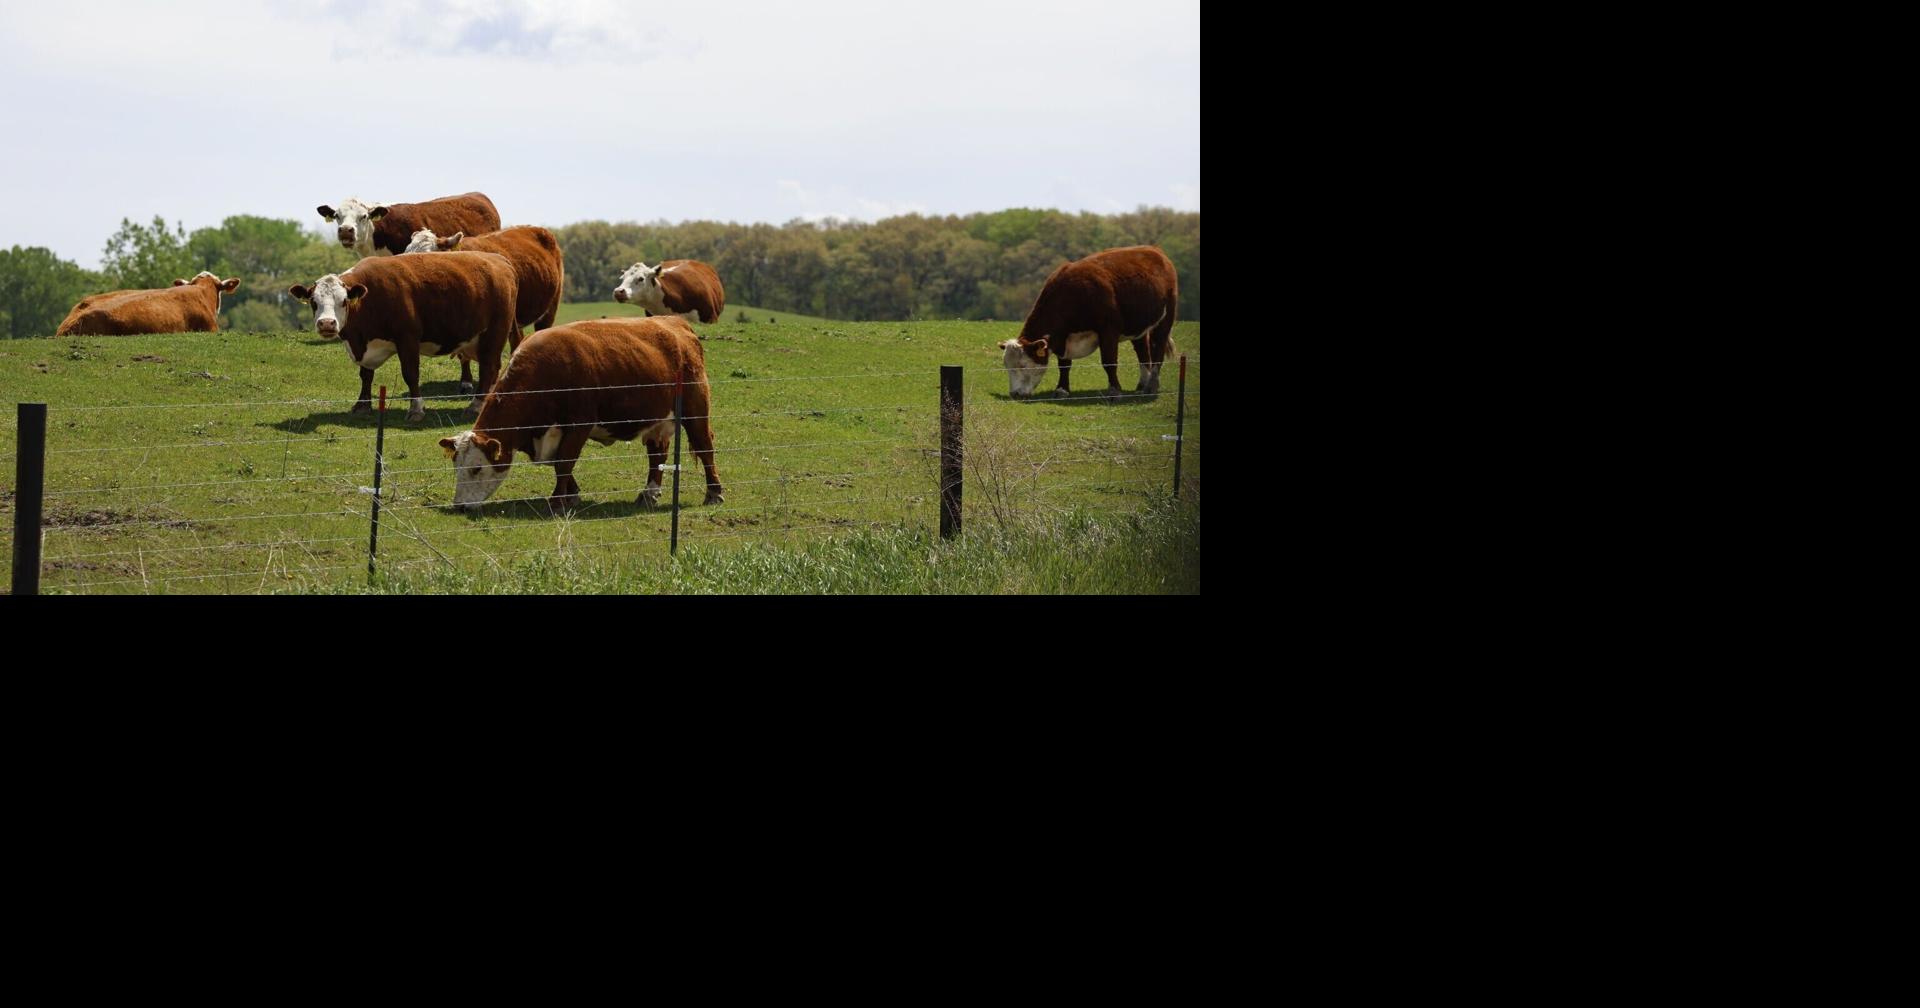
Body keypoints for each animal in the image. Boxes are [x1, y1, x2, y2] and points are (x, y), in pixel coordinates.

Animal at [289, 252, 518, 422]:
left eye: (343, 301)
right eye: (313, 301)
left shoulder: (407, 338)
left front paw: (416, 410)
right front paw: (362, 405)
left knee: (489, 368)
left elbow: (410, 374)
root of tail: (500, 260)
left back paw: (476, 406)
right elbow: (366, 375)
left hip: (494, 333)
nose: (327, 323)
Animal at [438, 316, 725, 515]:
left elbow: (564, 461)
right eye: (456, 466)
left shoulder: (579, 424)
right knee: (657, 455)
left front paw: (557, 502)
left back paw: (714, 493)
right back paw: (649, 493)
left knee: (705, 447)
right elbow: (557, 463)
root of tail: (676, 324)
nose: (459, 506)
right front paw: (571, 494)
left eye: (476, 468)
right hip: (656, 421)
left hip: (695, 411)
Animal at [997, 245, 1178, 400]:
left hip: (1165, 319)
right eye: (1006, 365)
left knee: (1158, 351)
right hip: (1138, 328)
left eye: (1022, 365)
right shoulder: (1064, 337)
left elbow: (1109, 362)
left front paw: (1114, 391)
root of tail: (1155, 250)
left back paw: (1152, 386)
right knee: (1143, 352)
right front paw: (1062, 389)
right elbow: (1064, 364)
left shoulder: (1108, 330)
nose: (1015, 394)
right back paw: (1142, 385)